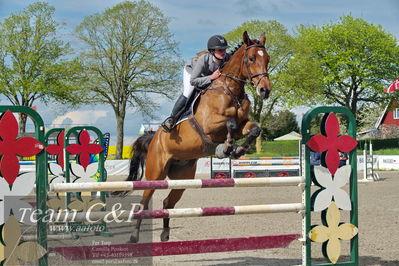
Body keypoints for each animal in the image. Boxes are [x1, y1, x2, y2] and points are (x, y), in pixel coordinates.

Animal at [126, 31, 274, 243]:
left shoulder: (244, 125)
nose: (265, 90)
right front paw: (225, 148)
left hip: (184, 177)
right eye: (252, 58)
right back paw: (134, 235)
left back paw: (165, 233)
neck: (230, 89)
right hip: (156, 173)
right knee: (144, 202)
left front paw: (238, 150)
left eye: (268, 59)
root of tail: (153, 139)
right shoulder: (209, 124)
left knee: (167, 202)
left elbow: (254, 129)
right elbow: (230, 122)